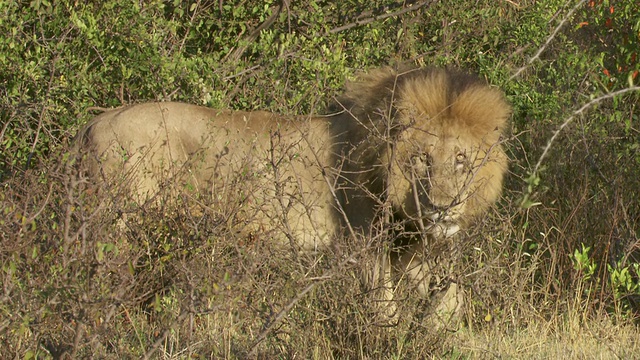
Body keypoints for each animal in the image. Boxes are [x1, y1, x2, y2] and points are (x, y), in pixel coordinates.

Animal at [77, 67, 512, 324]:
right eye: (422, 159)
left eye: (461, 160)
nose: (442, 208)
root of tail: (94, 122)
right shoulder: (364, 246)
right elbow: (383, 310)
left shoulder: (408, 252)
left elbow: (452, 302)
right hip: (118, 230)